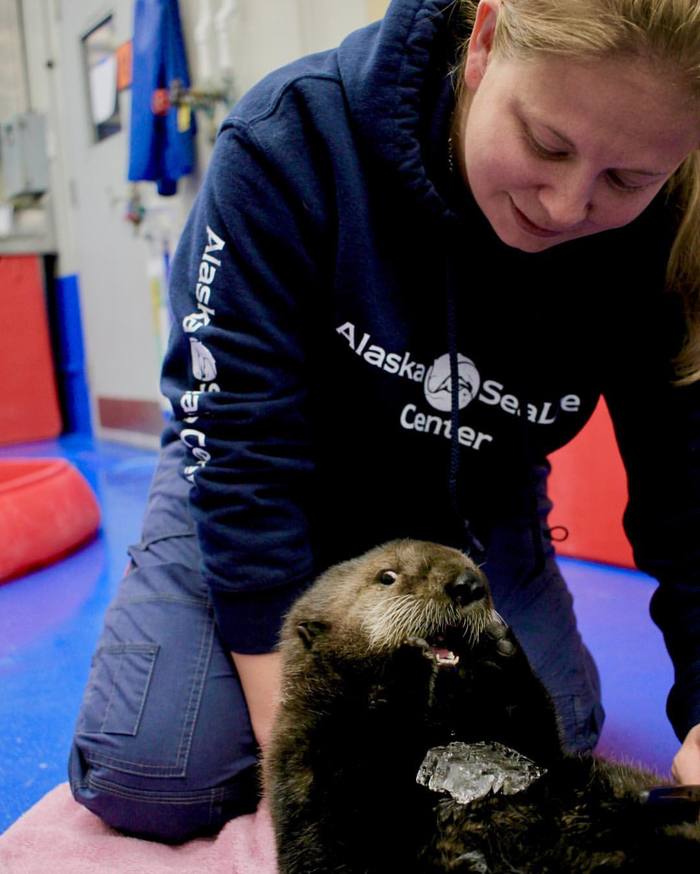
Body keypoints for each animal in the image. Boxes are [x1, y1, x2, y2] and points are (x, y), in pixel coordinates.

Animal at [264, 540, 700, 872]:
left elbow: (536, 732)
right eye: (386, 577)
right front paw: (406, 662)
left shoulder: (527, 747)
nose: (468, 583)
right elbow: (337, 839)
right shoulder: (308, 762)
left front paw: (500, 649)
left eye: (469, 560)